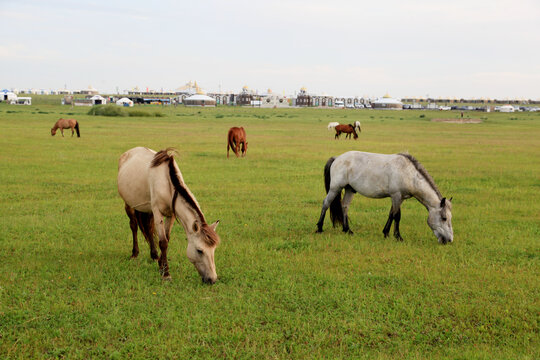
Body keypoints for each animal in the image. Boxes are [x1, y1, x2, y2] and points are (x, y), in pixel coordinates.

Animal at [117, 148, 220, 282]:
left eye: (213, 250)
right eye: (199, 250)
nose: (212, 279)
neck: (168, 185)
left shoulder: (170, 215)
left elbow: (167, 238)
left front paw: (161, 265)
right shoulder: (158, 213)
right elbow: (163, 242)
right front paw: (166, 273)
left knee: (148, 229)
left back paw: (154, 255)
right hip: (129, 204)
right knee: (134, 226)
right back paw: (134, 254)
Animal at [314, 150, 454, 243]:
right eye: (444, 218)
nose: (449, 240)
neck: (408, 173)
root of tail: (337, 158)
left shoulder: (399, 198)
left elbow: (391, 214)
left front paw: (386, 233)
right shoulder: (396, 195)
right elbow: (397, 216)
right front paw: (398, 237)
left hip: (349, 189)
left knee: (345, 206)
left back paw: (347, 230)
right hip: (335, 188)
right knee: (326, 203)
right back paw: (319, 228)